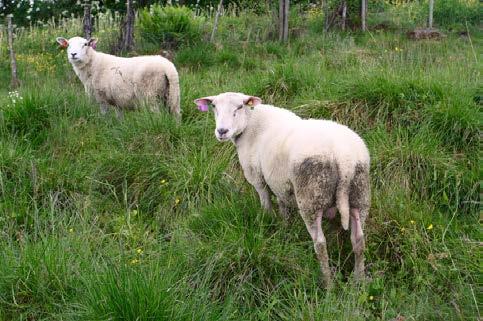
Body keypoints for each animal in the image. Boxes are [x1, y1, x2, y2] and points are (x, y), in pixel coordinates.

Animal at [195, 91, 372, 286]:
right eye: (214, 107)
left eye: (240, 106)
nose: (222, 131)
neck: (251, 123)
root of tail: (344, 158)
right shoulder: (280, 184)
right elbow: (284, 208)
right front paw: (286, 230)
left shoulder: (257, 177)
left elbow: (266, 204)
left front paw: (268, 223)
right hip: (360, 194)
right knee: (358, 240)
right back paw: (359, 281)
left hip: (311, 197)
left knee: (320, 243)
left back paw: (328, 283)